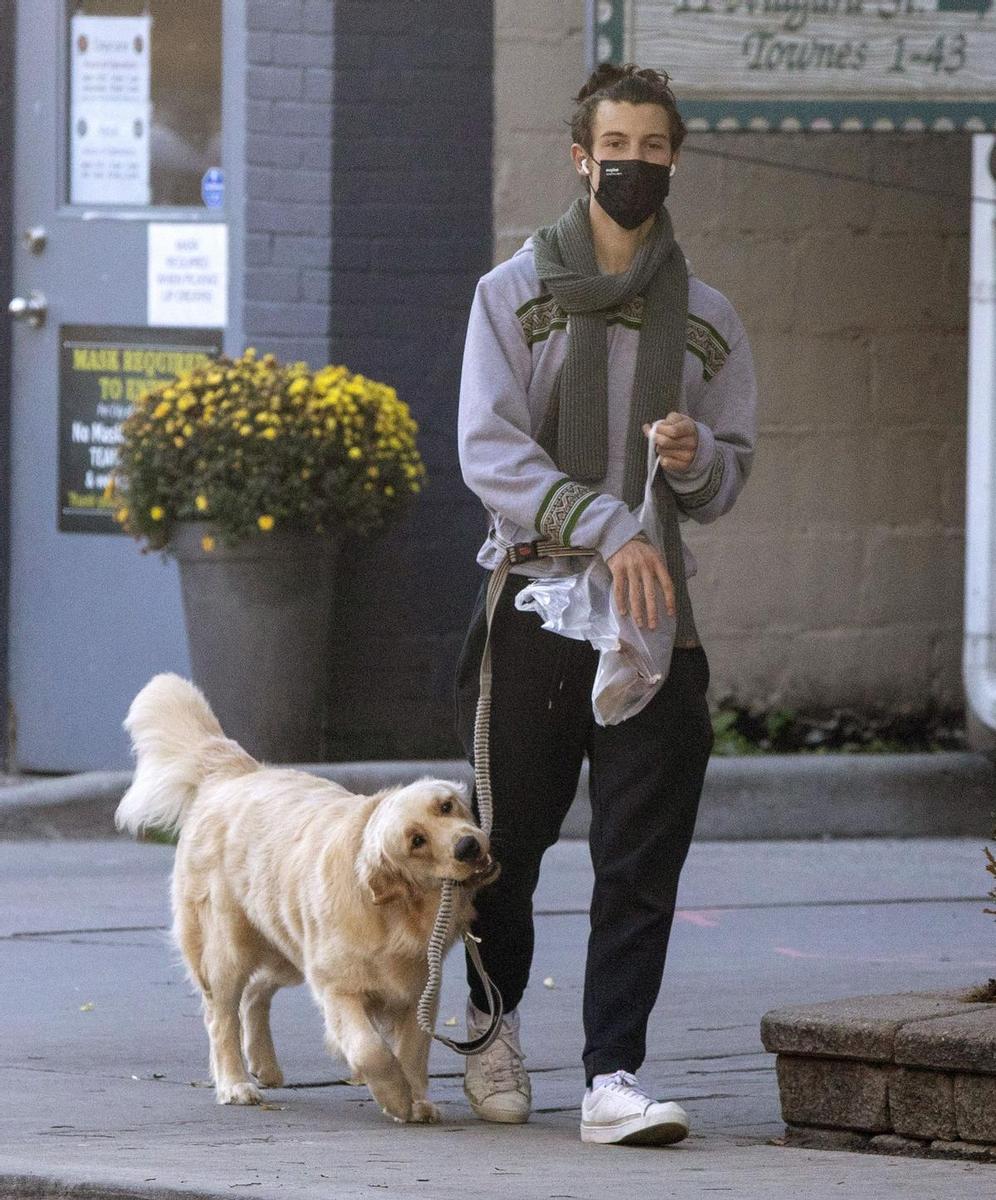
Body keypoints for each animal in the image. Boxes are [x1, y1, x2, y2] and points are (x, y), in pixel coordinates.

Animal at [115, 676, 496, 1123]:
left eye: (447, 806)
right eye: (416, 841)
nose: (469, 846)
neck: (396, 912)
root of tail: (235, 772)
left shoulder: (418, 990)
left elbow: (412, 1053)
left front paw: (417, 1099)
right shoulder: (338, 989)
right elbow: (370, 1049)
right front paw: (395, 1097)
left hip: (288, 949)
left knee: (256, 992)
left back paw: (264, 1064)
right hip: (229, 948)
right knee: (221, 1016)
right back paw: (235, 1083)